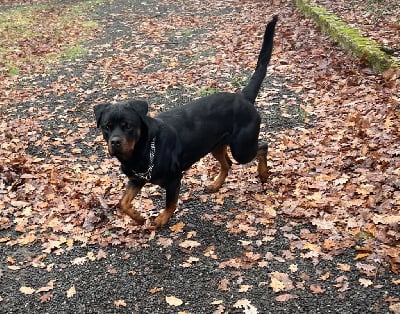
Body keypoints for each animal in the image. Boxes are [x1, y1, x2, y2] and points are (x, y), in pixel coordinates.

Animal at [94, 15, 278, 227]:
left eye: (128, 127)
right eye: (107, 127)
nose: (115, 142)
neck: (144, 149)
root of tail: (243, 97)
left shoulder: (174, 179)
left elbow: (170, 203)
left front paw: (162, 219)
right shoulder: (137, 179)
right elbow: (122, 203)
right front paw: (139, 218)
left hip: (242, 148)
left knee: (262, 147)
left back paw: (263, 173)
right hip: (216, 145)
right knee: (228, 164)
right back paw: (216, 185)